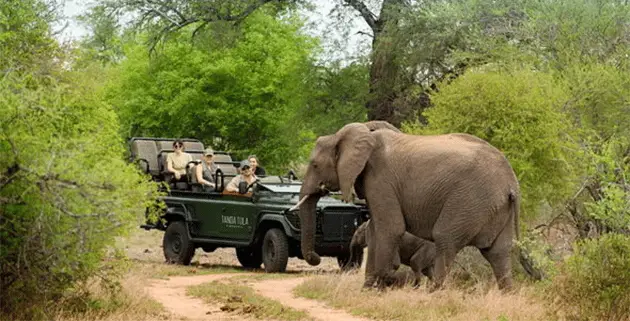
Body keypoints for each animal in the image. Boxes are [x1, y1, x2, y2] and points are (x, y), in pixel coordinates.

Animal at [296, 120, 524, 290]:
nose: (315, 258)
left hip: (470, 200)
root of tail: (511, 184)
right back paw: (506, 295)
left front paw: (386, 282)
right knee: (498, 252)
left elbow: (390, 229)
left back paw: (433, 294)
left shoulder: (381, 179)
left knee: (445, 240)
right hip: (496, 207)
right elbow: (376, 230)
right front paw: (368, 290)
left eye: (314, 165)